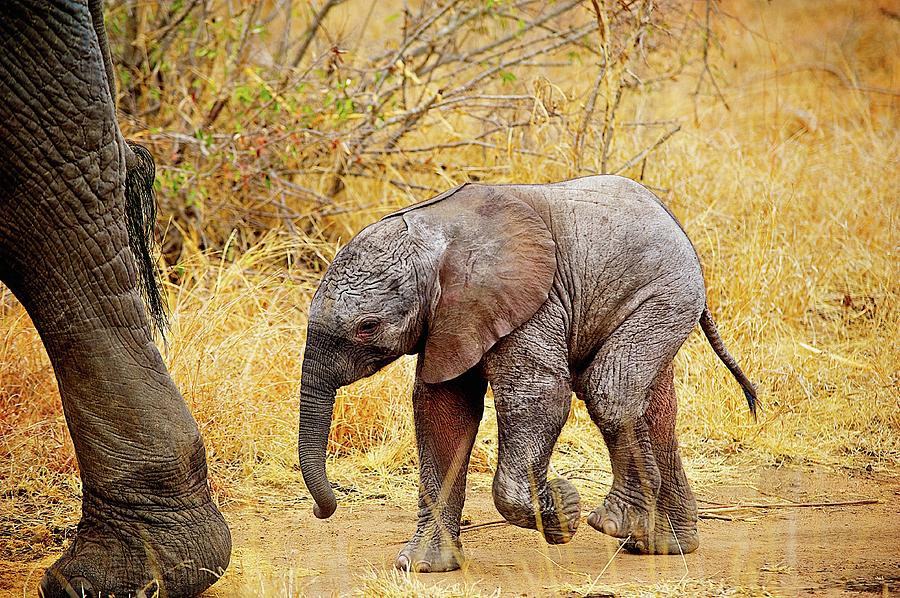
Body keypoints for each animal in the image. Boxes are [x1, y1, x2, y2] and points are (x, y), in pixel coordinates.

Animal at [298, 175, 756, 572]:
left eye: (367, 326)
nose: (323, 510)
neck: (433, 236)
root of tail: (669, 215)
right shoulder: (451, 315)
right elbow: (442, 413)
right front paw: (422, 567)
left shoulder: (531, 301)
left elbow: (537, 397)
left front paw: (566, 509)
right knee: (655, 410)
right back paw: (664, 546)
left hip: (666, 293)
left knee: (609, 390)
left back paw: (614, 523)